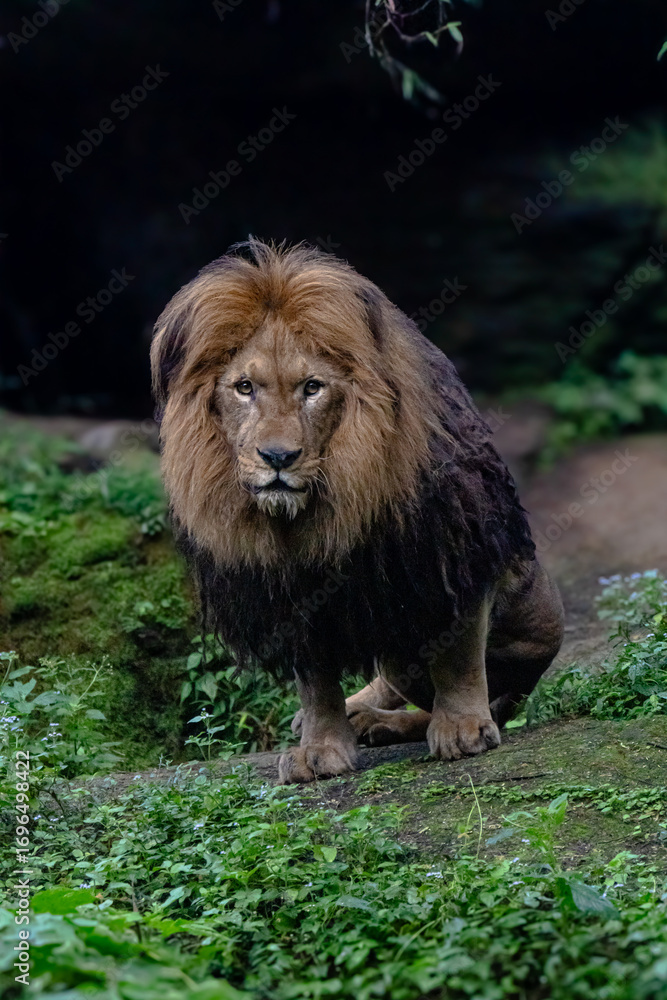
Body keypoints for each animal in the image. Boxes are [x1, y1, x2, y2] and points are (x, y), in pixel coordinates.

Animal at [151, 239, 564, 783]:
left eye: (312, 388)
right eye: (244, 388)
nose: (278, 458)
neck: (315, 510)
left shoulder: (453, 550)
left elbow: (457, 654)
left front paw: (461, 729)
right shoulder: (295, 590)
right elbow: (315, 680)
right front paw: (321, 747)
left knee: (470, 696)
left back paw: (385, 723)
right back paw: (355, 712)